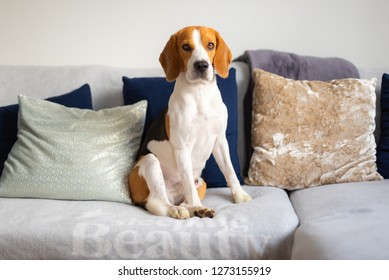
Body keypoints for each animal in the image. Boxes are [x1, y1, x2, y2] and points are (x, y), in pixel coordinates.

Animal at [127, 26, 252, 219]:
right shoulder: (183, 148)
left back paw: (198, 209)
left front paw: (239, 194)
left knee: (186, 198)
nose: (202, 65)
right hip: (150, 162)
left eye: (210, 45)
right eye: (186, 47)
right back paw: (180, 209)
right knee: (158, 202)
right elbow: (188, 185)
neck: (200, 93)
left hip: (202, 181)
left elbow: (229, 171)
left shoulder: (220, 140)